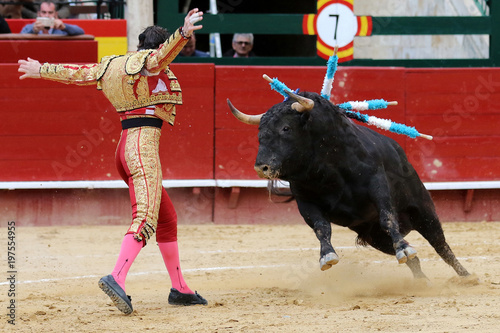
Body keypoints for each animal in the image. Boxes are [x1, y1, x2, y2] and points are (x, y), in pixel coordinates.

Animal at [229, 90, 470, 278]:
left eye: (286, 128)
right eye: (260, 132)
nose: (261, 167)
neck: (328, 167)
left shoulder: (377, 185)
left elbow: (387, 217)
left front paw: (403, 247)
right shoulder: (305, 201)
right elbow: (321, 227)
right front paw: (326, 256)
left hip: (423, 210)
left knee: (440, 245)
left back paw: (466, 276)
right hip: (376, 239)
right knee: (412, 257)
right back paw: (422, 281)